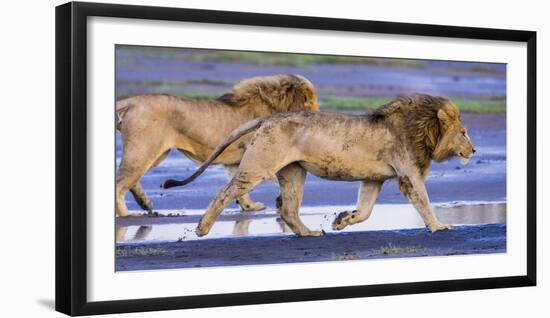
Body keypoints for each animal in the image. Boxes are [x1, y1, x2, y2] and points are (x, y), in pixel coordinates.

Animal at [117, 74, 324, 216]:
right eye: (311, 101)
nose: (320, 115)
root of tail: (133, 101)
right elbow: (275, 180)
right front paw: (279, 202)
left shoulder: (237, 160)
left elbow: (239, 186)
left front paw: (249, 207)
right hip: (144, 150)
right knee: (119, 183)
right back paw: (127, 214)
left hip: (156, 154)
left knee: (129, 181)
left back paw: (145, 204)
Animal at [165, 93, 478, 237]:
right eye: (464, 132)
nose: (474, 149)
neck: (423, 129)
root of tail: (269, 118)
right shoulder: (409, 174)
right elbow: (424, 202)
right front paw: (439, 226)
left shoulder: (373, 178)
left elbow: (365, 210)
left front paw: (342, 220)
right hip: (259, 166)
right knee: (224, 192)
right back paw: (202, 228)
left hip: (294, 173)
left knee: (289, 210)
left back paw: (309, 233)